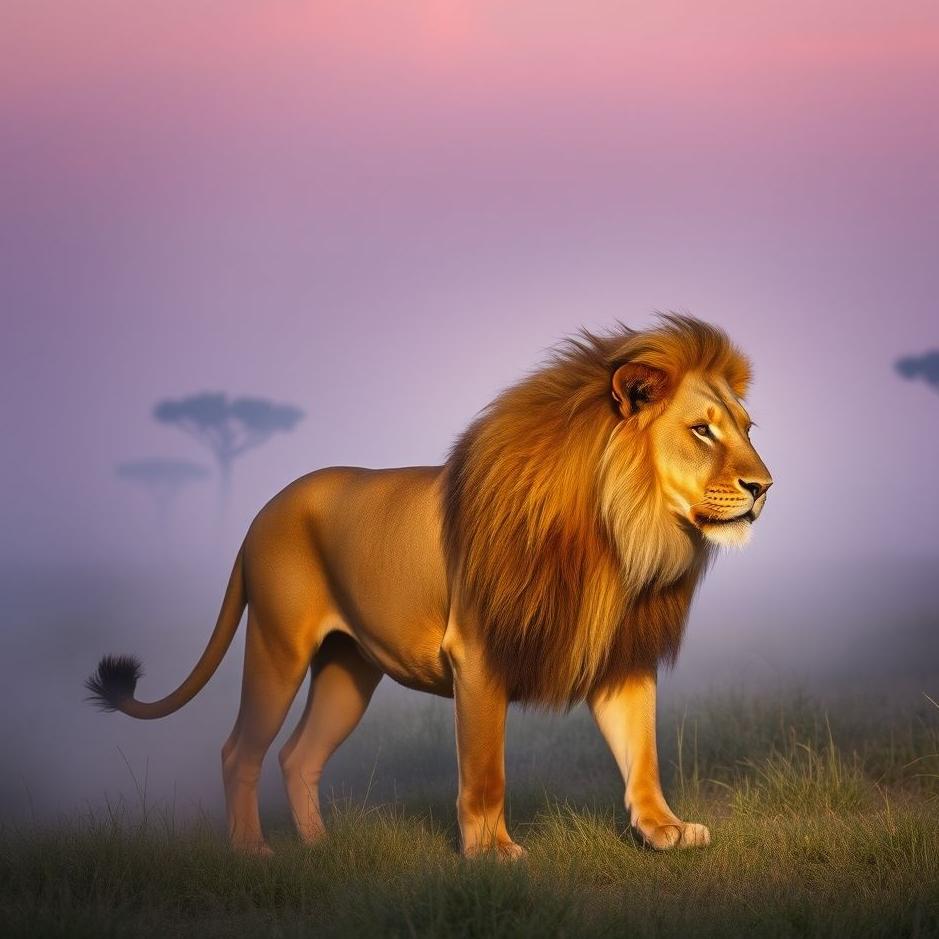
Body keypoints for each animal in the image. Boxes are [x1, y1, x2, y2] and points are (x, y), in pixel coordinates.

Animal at [87, 314, 772, 858]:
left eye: (745, 428)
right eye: (702, 430)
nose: (764, 486)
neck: (624, 536)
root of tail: (262, 511)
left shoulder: (620, 654)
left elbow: (643, 753)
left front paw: (664, 831)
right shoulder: (478, 655)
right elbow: (486, 769)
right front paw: (491, 852)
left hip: (348, 669)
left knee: (298, 756)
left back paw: (321, 848)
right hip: (277, 647)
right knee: (240, 752)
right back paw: (253, 851)